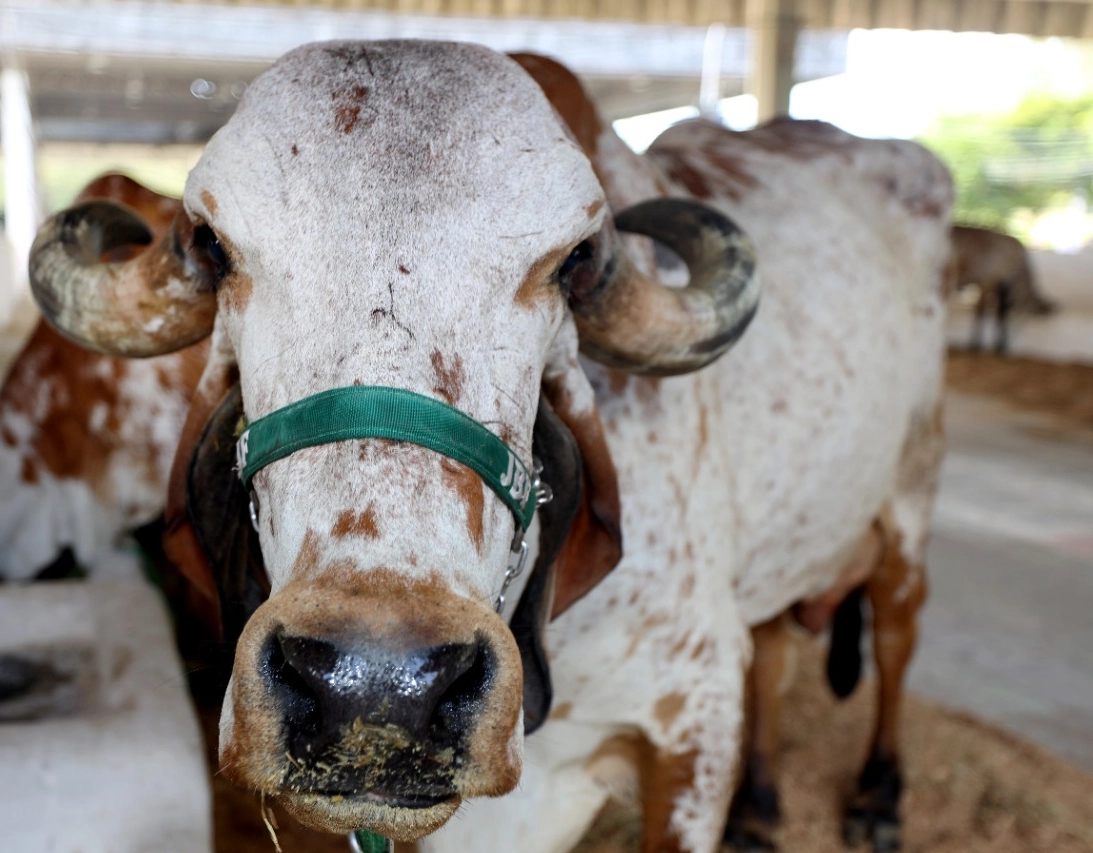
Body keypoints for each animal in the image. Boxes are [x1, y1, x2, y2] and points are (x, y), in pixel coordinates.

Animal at [23, 41, 948, 853]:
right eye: (212, 245)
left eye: (574, 260)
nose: (375, 686)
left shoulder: (697, 709)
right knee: (781, 646)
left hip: (910, 491)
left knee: (898, 629)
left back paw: (878, 796)